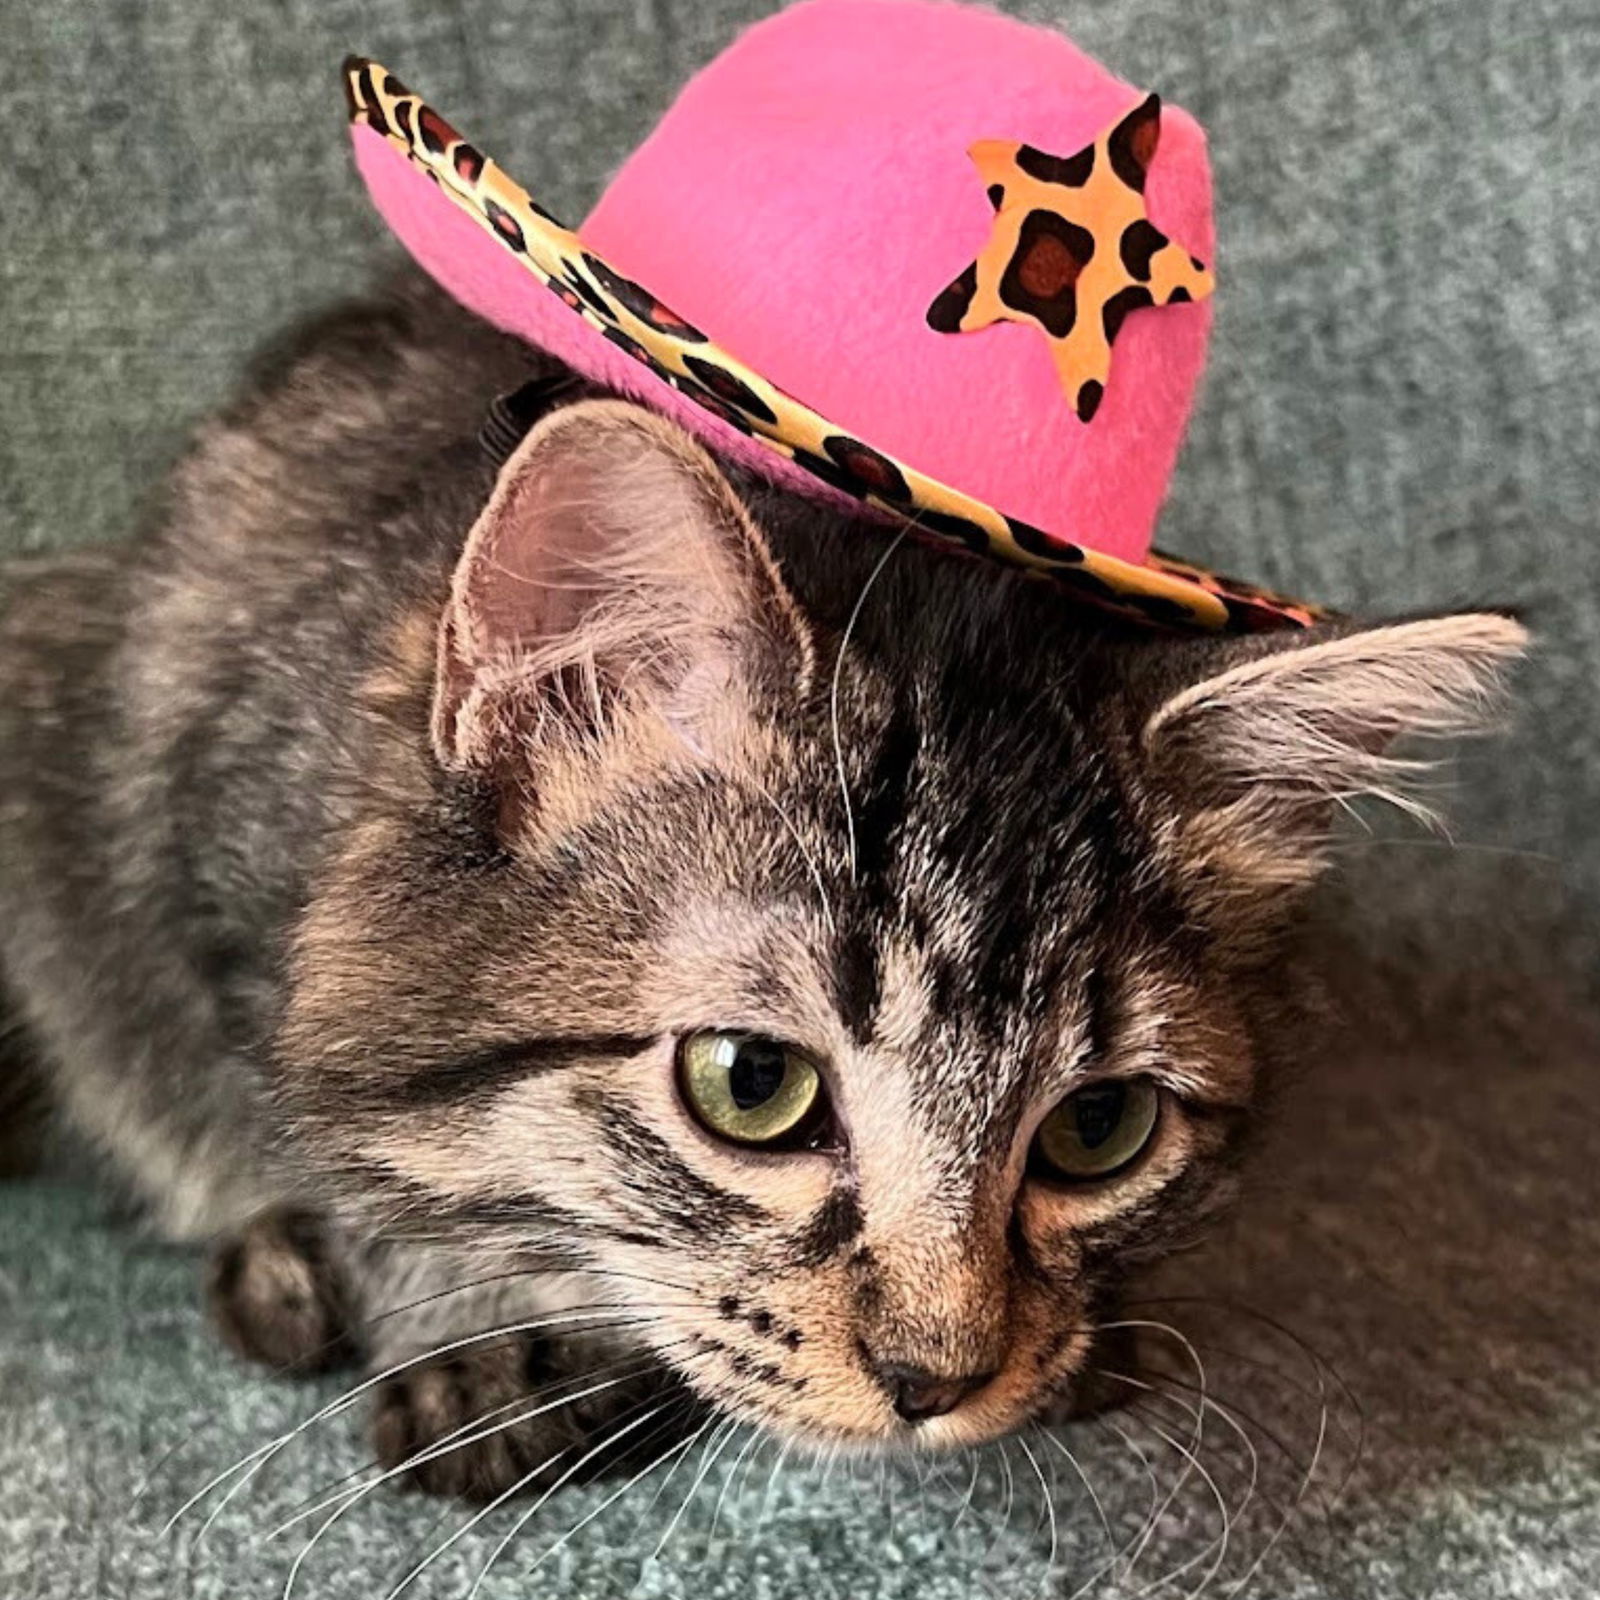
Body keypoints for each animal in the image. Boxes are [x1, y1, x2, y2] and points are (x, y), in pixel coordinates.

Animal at [0, 272, 1523, 1497]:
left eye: (1100, 1129)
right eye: (751, 1086)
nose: (938, 1380)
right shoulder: (214, 874)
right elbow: (321, 1136)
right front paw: (463, 1331)